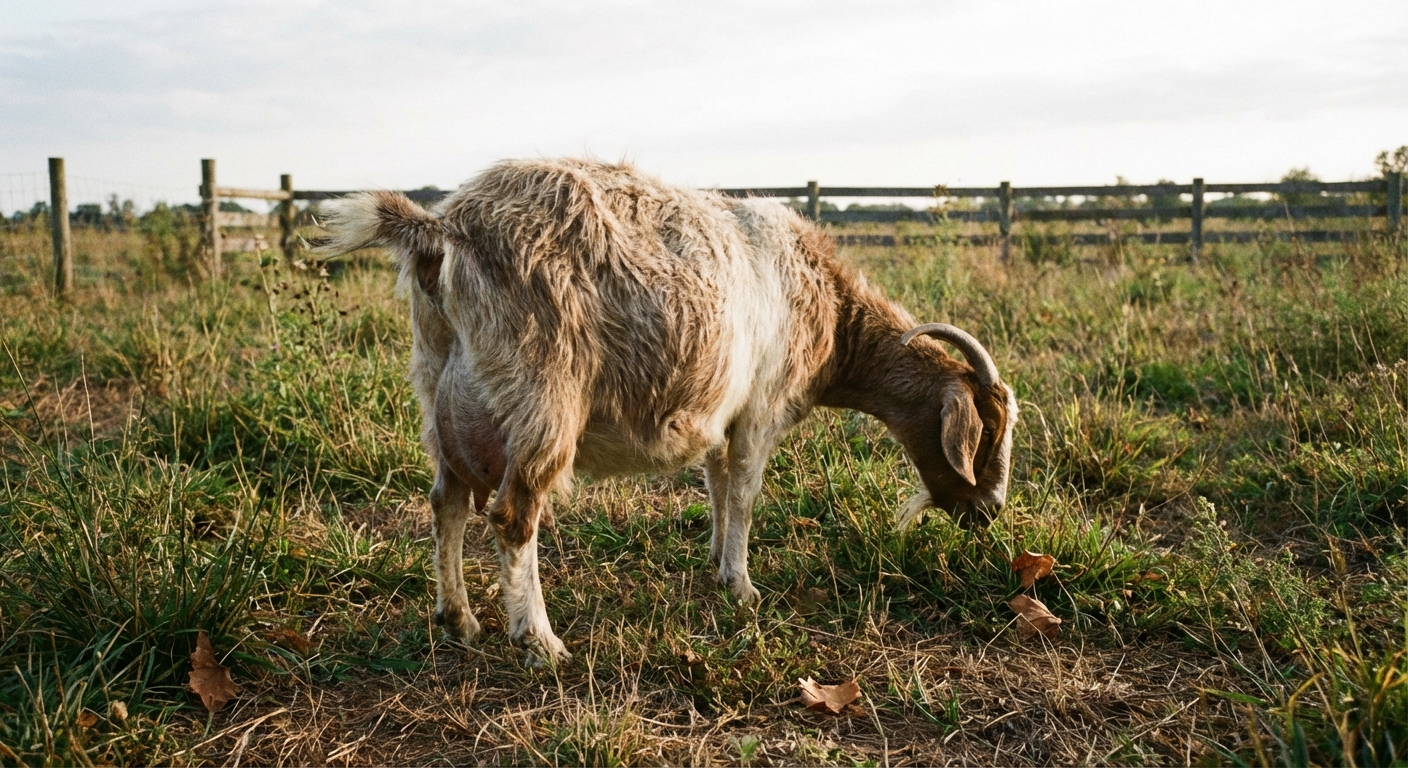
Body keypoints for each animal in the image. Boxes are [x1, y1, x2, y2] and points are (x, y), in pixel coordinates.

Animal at [315, 158, 1017, 663]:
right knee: (513, 514)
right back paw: (540, 641)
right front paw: (742, 587)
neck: (829, 310)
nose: (990, 512)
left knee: (448, 502)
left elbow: (716, 484)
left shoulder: (719, 413)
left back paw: (458, 619)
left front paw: (715, 562)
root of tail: (446, 228)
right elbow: (745, 492)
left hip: (440, 389)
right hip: (543, 392)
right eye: (987, 433)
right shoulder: (761, 408)